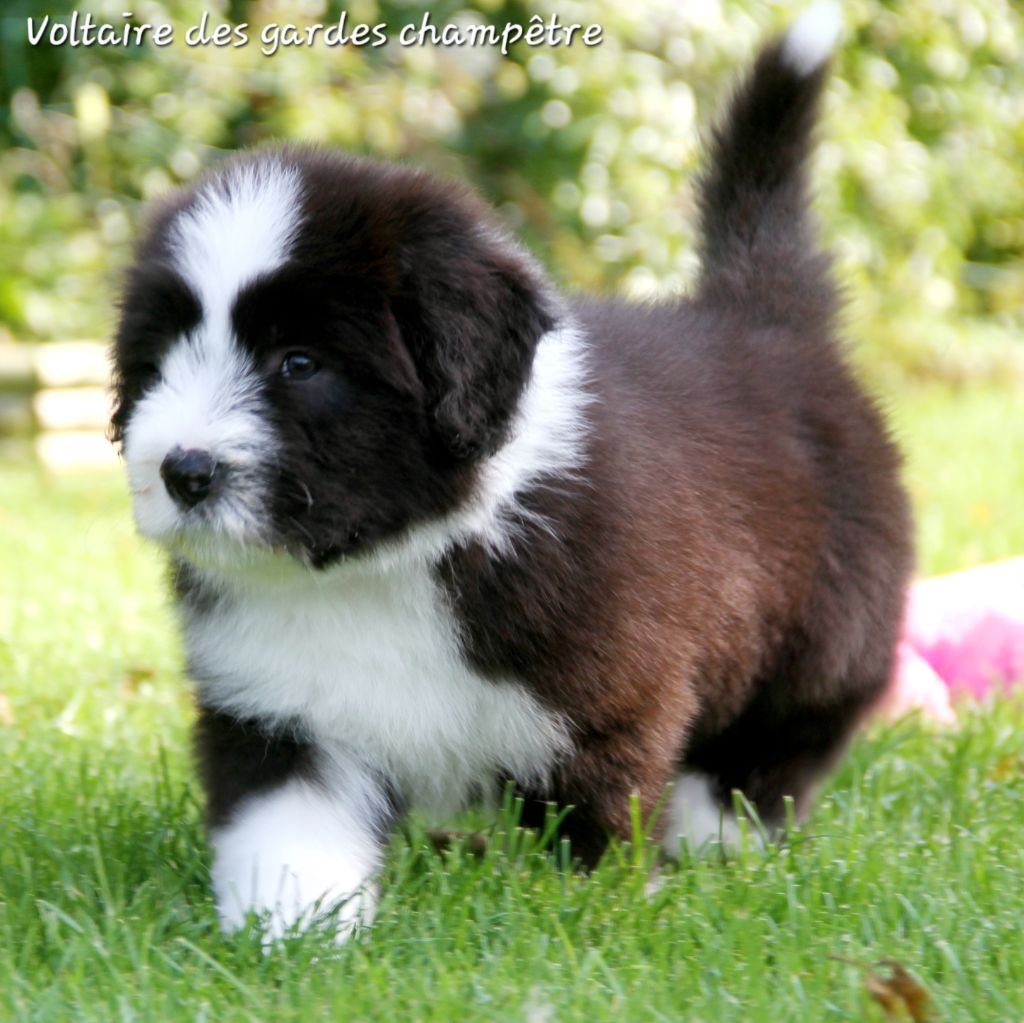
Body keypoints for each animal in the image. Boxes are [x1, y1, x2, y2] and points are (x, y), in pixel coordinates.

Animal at [112, 2, 913, 942]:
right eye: (160, 361)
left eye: (299, 363)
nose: (184, 471)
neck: (386, 566)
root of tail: (764, 316)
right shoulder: (277, 705)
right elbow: (288, 823)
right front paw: (293, 930)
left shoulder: (606, 696)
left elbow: (595, 812)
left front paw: (588, 912)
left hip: (825, 626)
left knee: (779, 738)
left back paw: (717, 833)